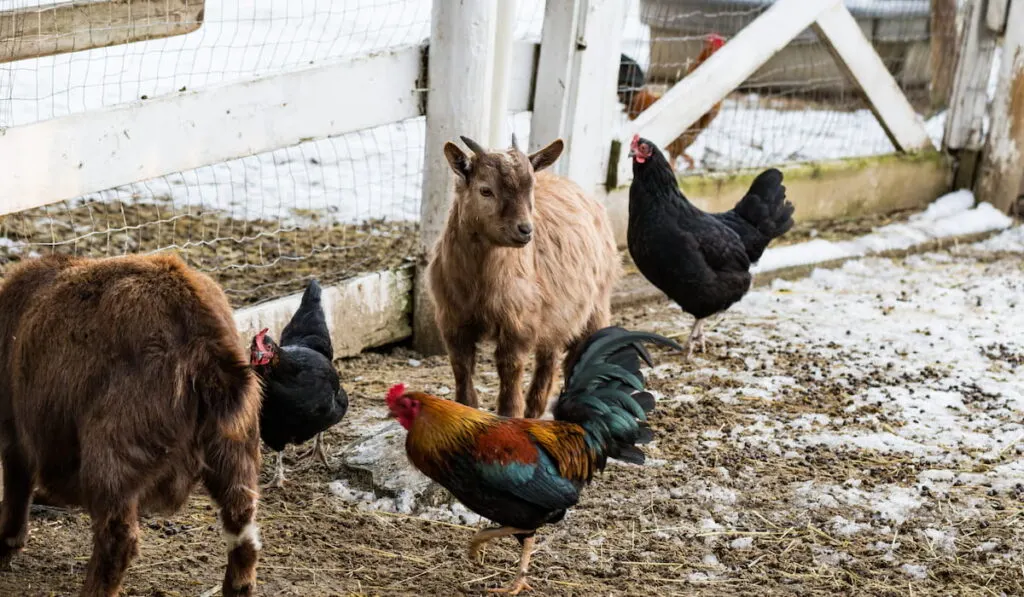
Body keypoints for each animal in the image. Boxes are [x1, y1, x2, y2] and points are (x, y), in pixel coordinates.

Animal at [0, 253, 266, 597]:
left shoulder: (15, 432)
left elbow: (17, 488)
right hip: (236, 447)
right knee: (242, 525)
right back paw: (238, 585)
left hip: (113, 454)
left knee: (117, 539)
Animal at [428, 135, 618, 417]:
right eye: (485, 190)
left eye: (531, 190)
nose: (525, 230)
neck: (479, 282)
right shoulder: (453, 319)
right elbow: (461, 367)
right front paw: (465, 408)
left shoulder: (519, 321)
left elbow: (510, 367)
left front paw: (510, 413)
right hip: (558, 312)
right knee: (550, 356)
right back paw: (535, 409)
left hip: (595, 305)